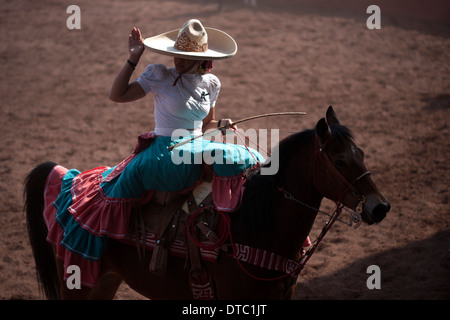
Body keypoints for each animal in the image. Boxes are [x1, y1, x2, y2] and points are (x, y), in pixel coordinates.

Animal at [23, 107, 390, 300]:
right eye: (340, 161)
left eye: (361, 153)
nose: (380, 207)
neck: (257, 228)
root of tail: (67, 178)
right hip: (77, 283)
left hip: (104, 282)